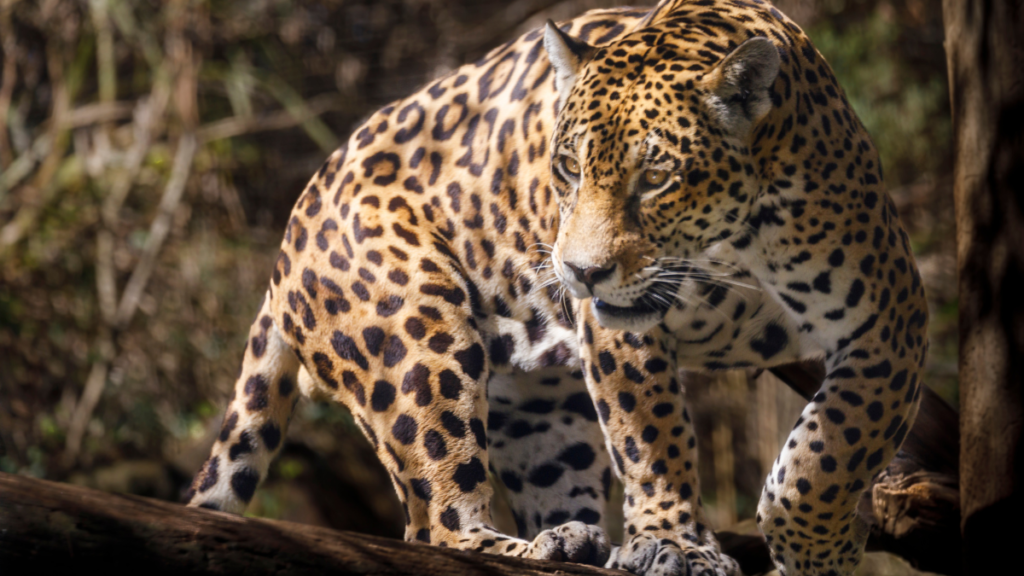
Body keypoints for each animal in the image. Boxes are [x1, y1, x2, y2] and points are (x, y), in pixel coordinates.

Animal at [185, 1, 929, 575]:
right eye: (569, 168)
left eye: (656, 177)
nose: (580, 273)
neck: (729, 248)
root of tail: (292, 232)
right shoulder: (619, 330)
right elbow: (651, 436)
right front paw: (676, 544)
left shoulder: (889, 317)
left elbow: (833, 447)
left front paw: (816, 546)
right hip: (416, 337)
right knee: (436, 522)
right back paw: (528, 547)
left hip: (542, 403)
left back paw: (574, 539)